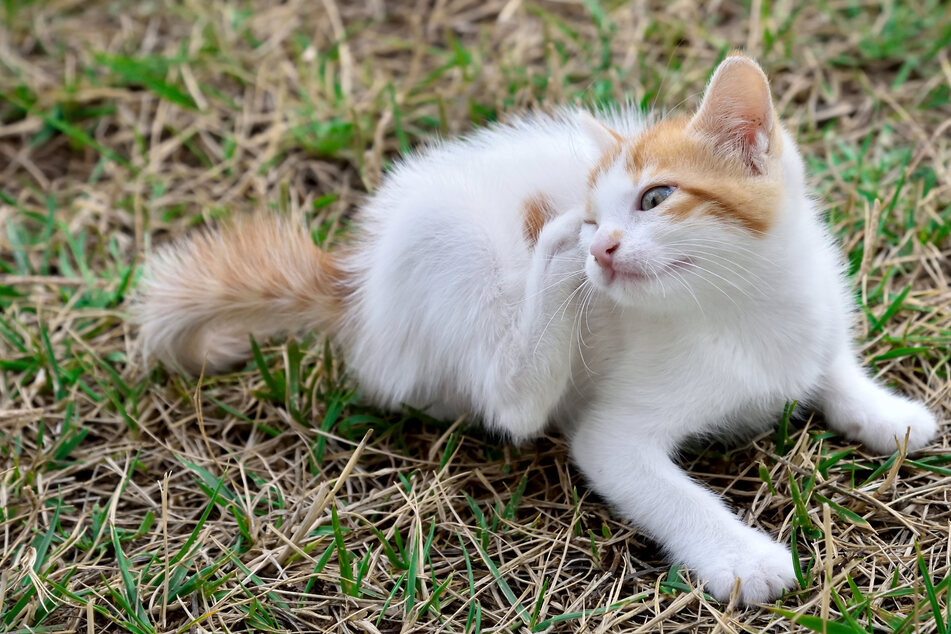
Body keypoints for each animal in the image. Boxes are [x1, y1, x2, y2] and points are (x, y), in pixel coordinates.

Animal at [138, 55, 940, 604]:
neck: (740, 306)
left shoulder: (815, 315)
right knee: (513, 400)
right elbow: (660, 487)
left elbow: (831, 365)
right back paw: (548, 262)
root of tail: (357, 286)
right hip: (456, 257)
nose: (596, 245)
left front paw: (885, 413)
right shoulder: (614, 437)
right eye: (596, 213)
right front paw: (741, 559)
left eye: (655, 198)